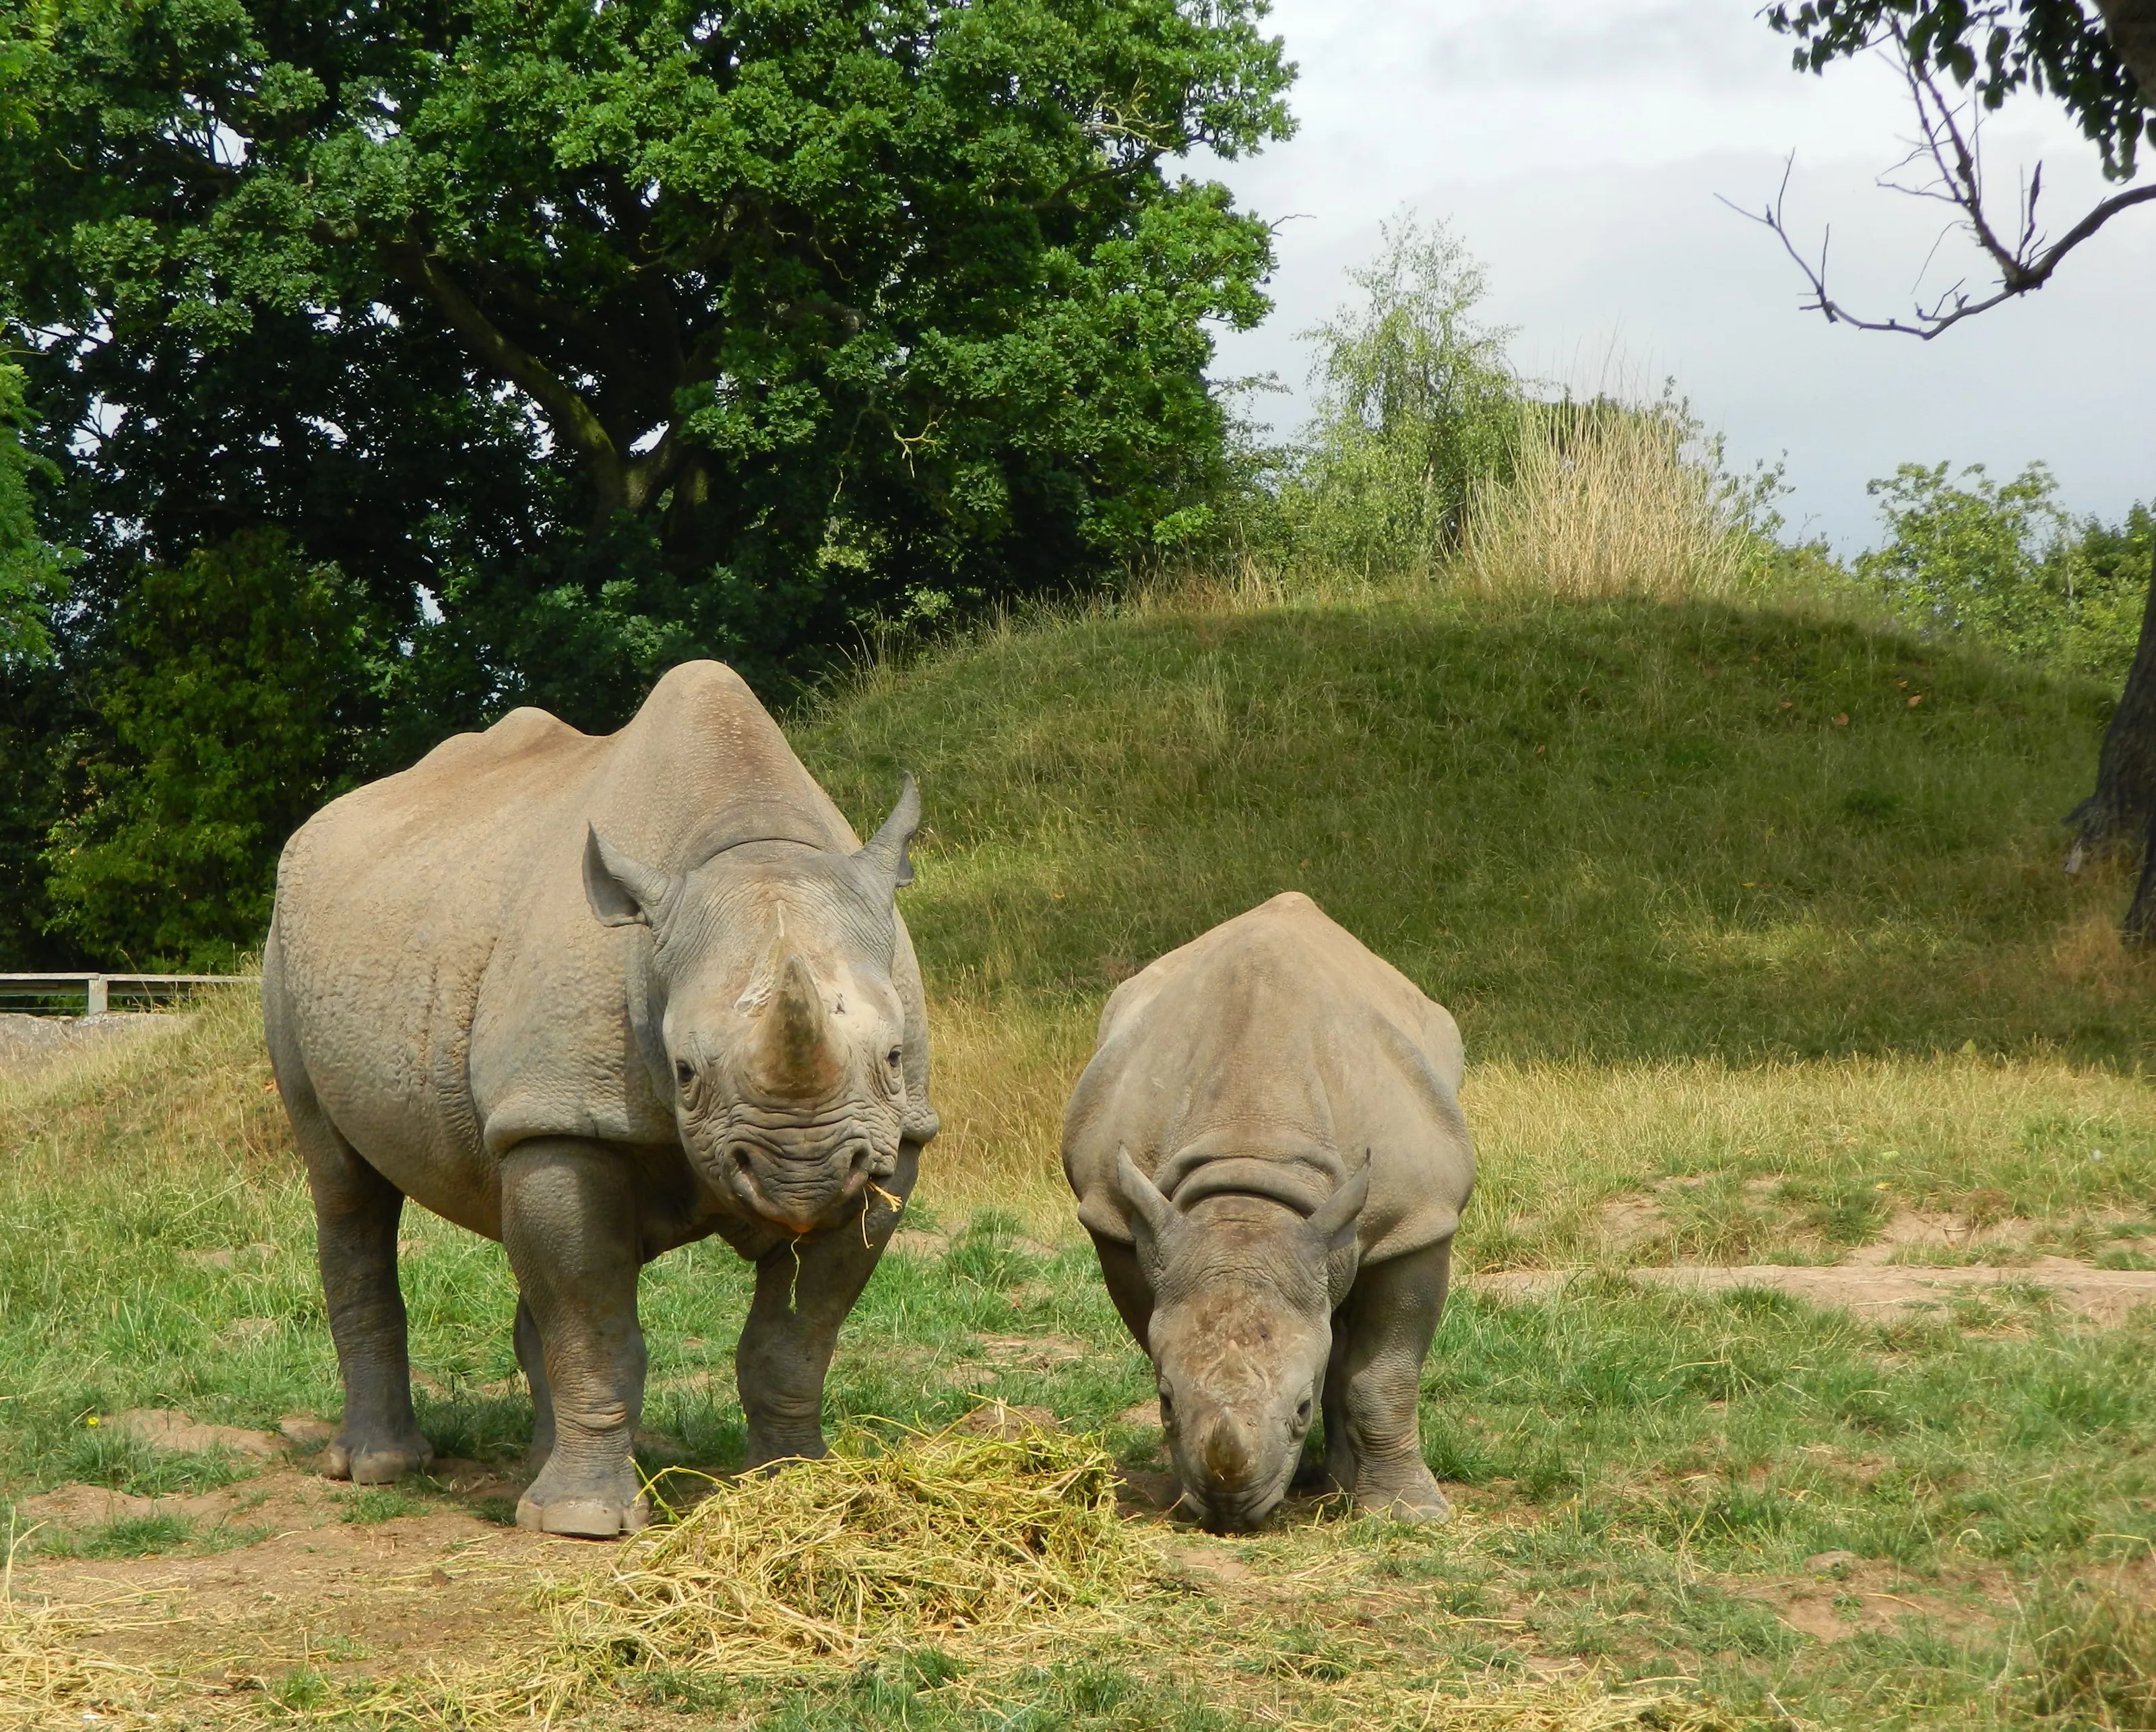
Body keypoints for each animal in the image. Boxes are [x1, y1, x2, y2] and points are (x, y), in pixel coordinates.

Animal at [262, 661, 936, 1537]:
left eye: (892, 1058)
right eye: (684, 1072)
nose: (804, 1173)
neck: (745, 845)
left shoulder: (897, 1139)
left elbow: (795, 1339)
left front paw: (792, 1484)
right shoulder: (564, 1111)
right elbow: (595, 1325)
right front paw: (581, 1521)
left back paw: (530, 1469)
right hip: (285, 947)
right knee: (345, 1185)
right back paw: (383, 1468)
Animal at [1062, 892, 1474, 1531]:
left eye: (1300, 1409)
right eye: (1164, 1403)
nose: (1230, 1511)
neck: (1252, 1175)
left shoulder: (1418, 1220)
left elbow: (1386, 1377)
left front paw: (1411, 1515)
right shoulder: (1117, 1216)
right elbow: (1155, 1331)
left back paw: (1341, 1486)